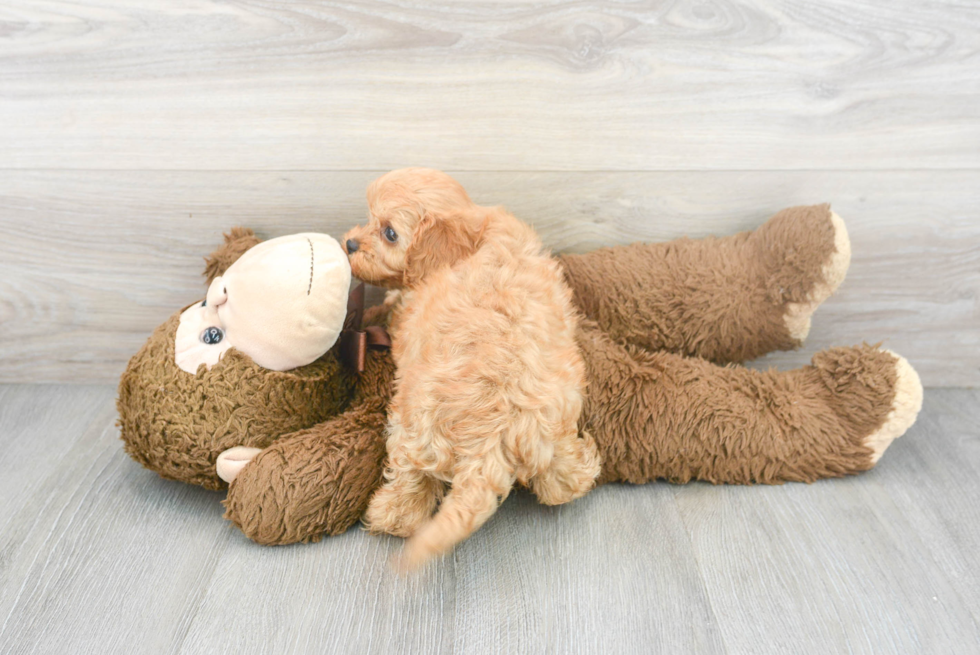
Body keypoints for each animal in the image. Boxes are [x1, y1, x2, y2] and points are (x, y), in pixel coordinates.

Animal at [344, 170, 604, 576]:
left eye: (389, 233)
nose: (349, 243)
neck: (474, 232)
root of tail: (490, 439)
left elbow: (397, 306)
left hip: (411, 428)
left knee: (408, 481)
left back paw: (390, 515)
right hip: (551, 430)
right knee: (561, 484)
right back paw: (584, 465)